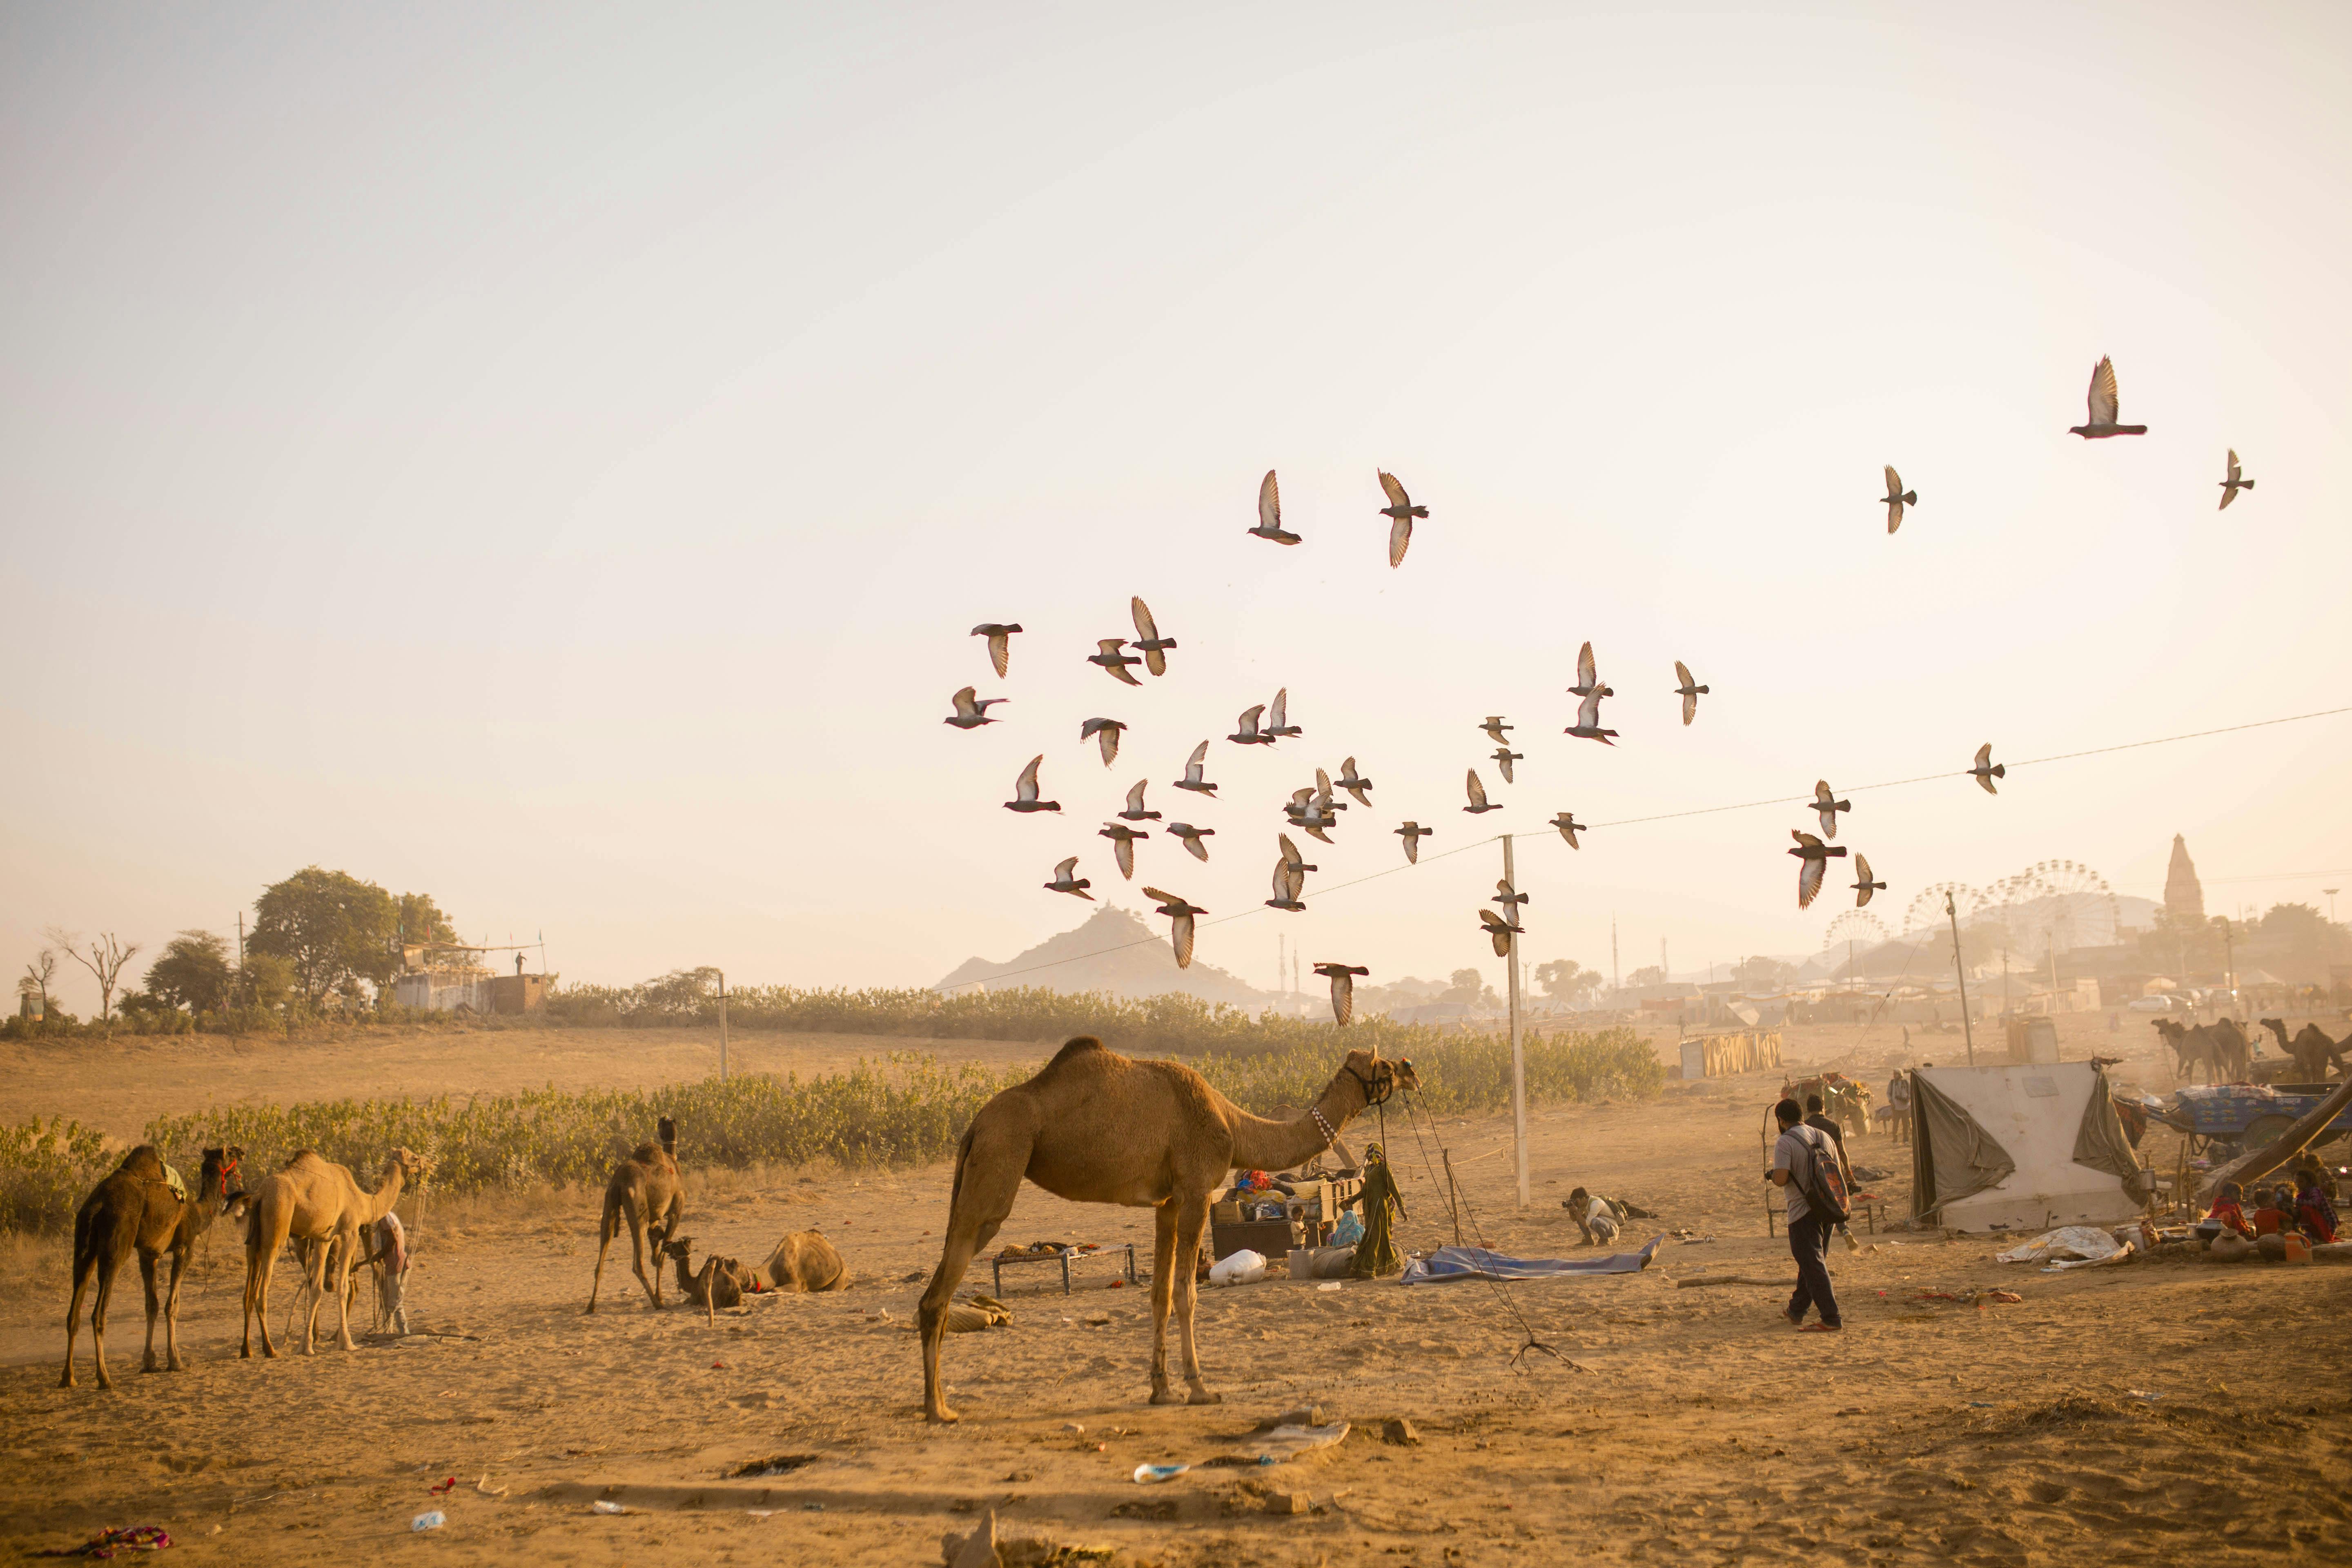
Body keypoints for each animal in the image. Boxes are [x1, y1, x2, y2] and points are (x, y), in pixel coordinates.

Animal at [61, 1145, 241, 1389]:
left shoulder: (148, 1255)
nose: (241, 1152)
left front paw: (149, 1362)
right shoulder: (184, 1248)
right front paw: (175, 1361)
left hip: (83, 1246)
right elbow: (172, 1306)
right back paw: (104, 1378)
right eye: (230, 1153)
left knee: (74, 1309)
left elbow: (152, 1306)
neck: (196, 1212)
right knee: (99, 1312)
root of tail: (97, 1205)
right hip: (117, 1243)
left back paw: (68, 1378)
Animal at [240, 1146, 425, 1358]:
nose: (425, 1163)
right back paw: (270, 1349)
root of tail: (260, 1194)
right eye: (415, 1158)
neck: (361, 1201)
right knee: (261, 1293)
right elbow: (343, 1287)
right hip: (277, 1223)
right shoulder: (350, 1231)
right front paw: (347, 1342)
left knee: (249, 1291)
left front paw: (306, 1346)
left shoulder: (324, 1238)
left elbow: (316, 1289)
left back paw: (247, 1350)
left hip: (253, 1241)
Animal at [588, 1116, 683, 1313]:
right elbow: (662, 1256)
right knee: (637, 1264)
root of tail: (619, 1182)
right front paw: (661, 1295)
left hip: (609, 1205)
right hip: (638, 1210)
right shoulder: (676, 1210)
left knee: (601, 1258)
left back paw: (591, 1306)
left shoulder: (655, 1216)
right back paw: (657, 1303)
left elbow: (656, 1238)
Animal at [917, 1036, 1416, 1423]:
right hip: (1000, 1159)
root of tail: (974, 1126)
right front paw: (1199, 1389)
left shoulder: (1168, 1202)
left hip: (979, 1169)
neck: (1231, 1124)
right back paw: (938, 1409)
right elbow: (1186, 1293)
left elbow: (1158, 1293)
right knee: (939, 1291)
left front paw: (1161, 1389)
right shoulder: (1195, 1190)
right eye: (1385, 1066)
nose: (1412, 1071)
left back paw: (937, 1404)